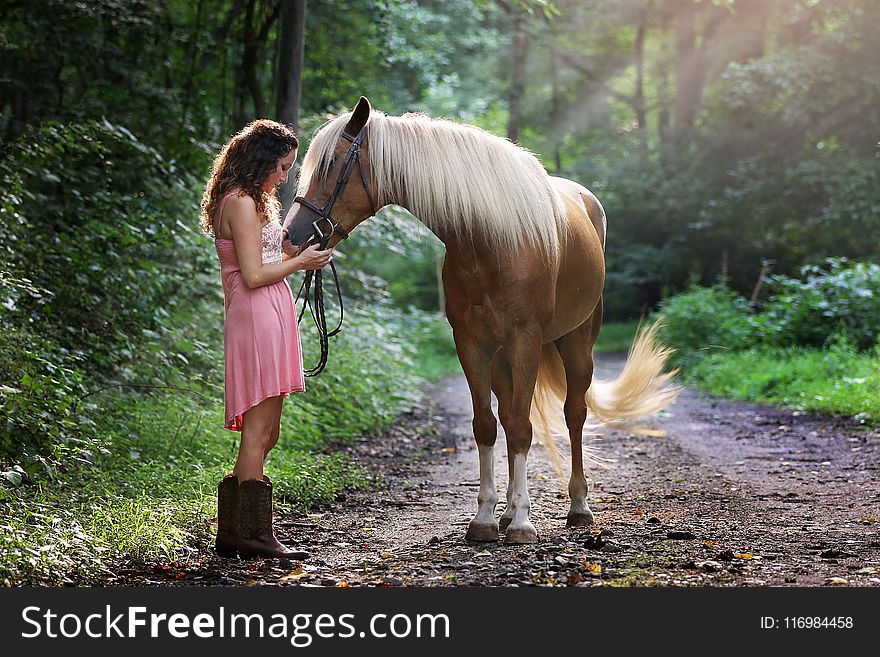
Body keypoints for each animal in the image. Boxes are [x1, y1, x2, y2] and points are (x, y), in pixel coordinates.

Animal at [286, 96, 676, 544]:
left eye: (332, 163)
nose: (291, 237)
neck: (490, 240)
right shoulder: (472, 344)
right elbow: (487, 426)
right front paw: (487, 518)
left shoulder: (525, 340)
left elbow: (523, 428)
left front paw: (523, 523)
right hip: (504, 358)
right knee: (508, 416)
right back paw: (507, 511)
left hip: (577, 343)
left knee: (573, 414)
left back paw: (578, 507)